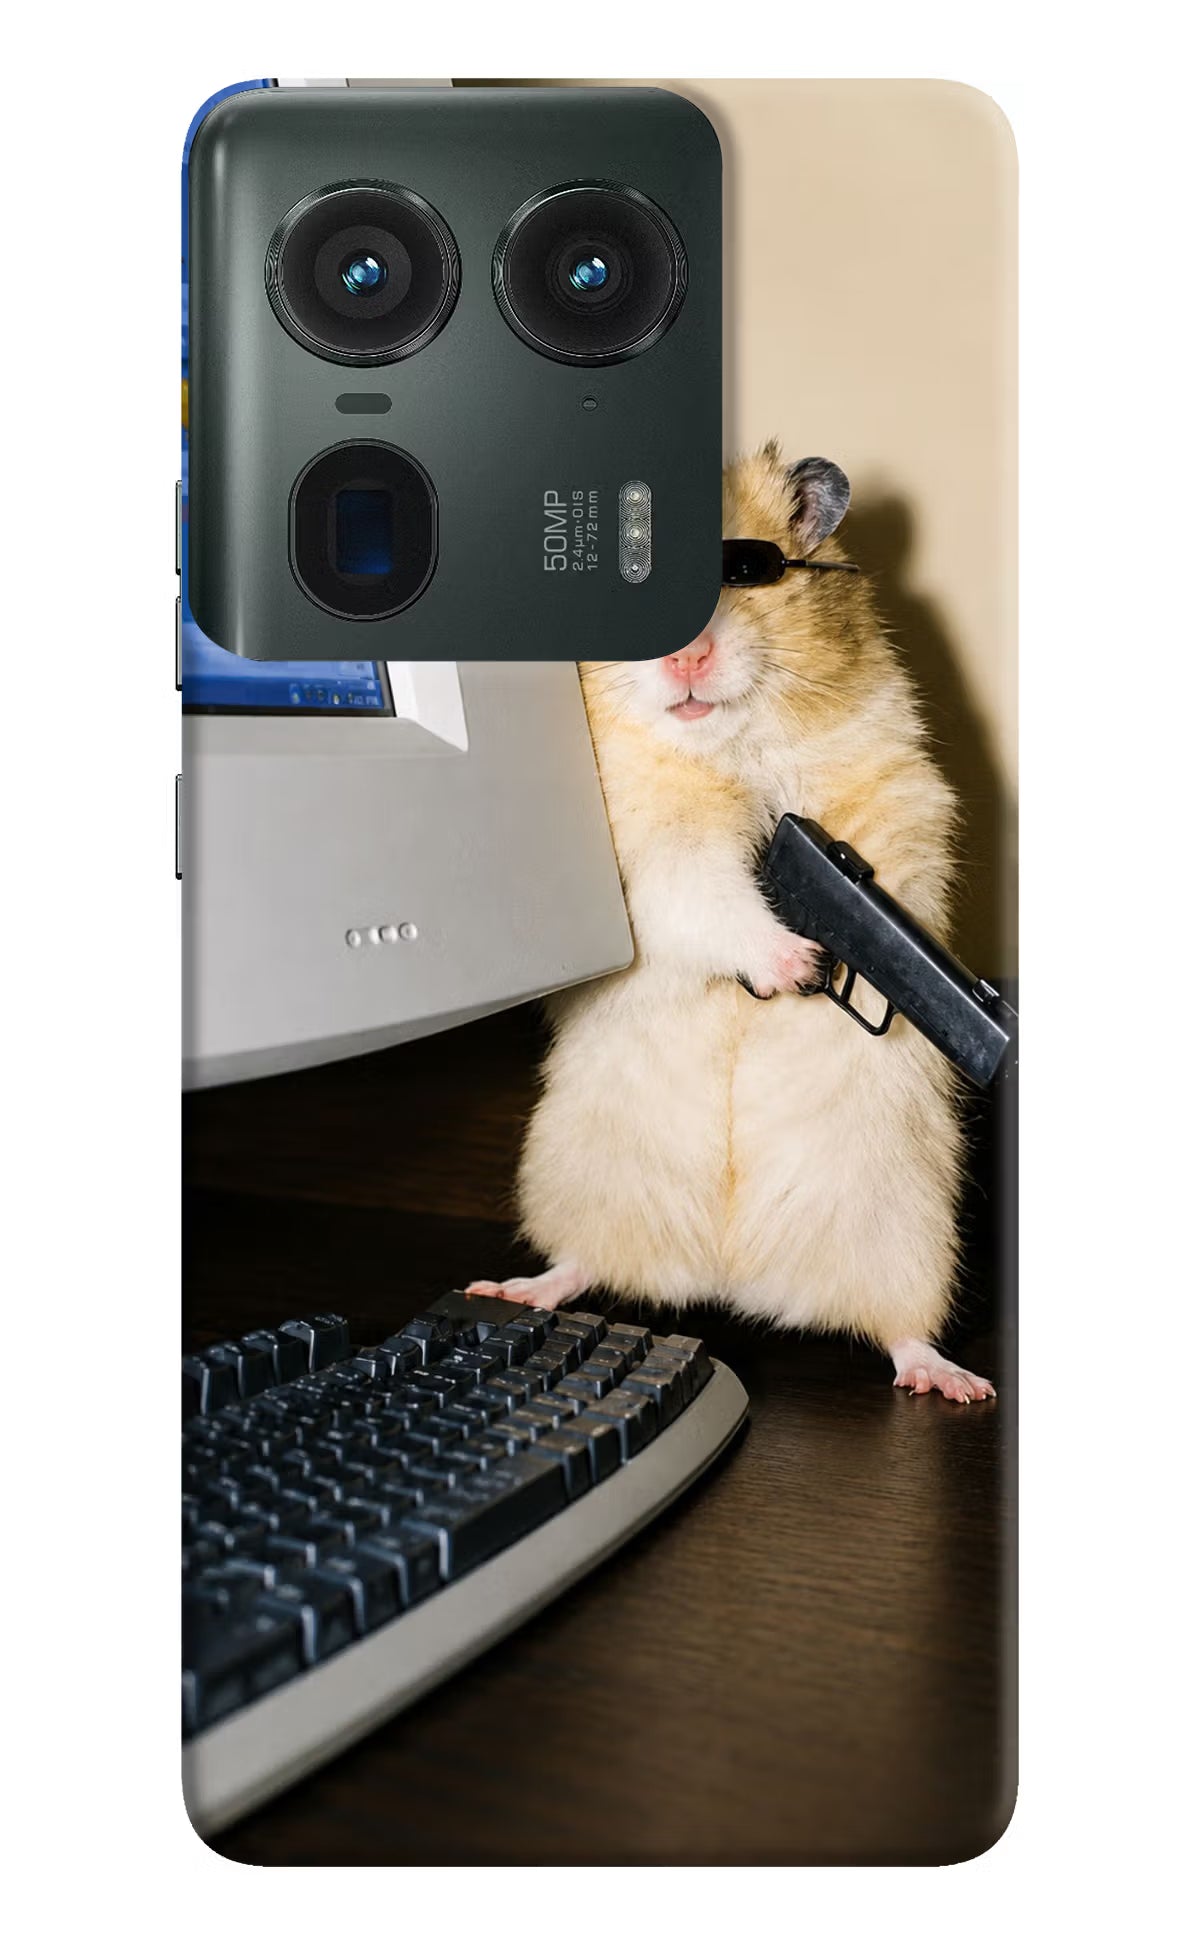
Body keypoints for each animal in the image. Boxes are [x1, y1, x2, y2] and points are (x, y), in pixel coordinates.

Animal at [469, 444, 994, 1402]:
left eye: (747, 573)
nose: (687, 656)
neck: (728, 743)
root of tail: (730, 1276)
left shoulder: (895, 793)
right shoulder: (652, 851)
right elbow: (709, 896)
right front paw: (797, 964)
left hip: (908, 1229)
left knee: (899, 1329)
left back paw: (955, 1382)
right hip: (579, 1176)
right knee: (582, 1263)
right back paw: (514, 1288)